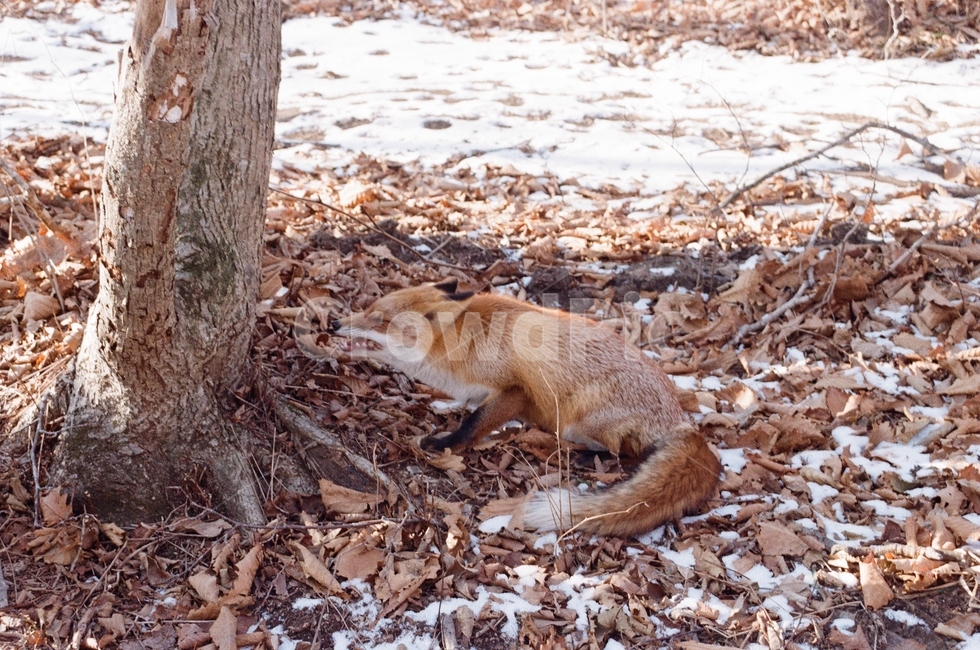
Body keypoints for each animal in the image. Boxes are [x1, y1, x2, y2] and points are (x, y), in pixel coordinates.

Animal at [329, 279, 721, 537]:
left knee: (618, 451)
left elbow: (473, 424)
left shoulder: (515, 390)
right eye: (367, 308)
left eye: (379, 320)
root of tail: (681, 422)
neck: (461, 346)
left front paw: (444, 444)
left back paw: (576, 454)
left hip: (580, 418)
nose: (333, 322)